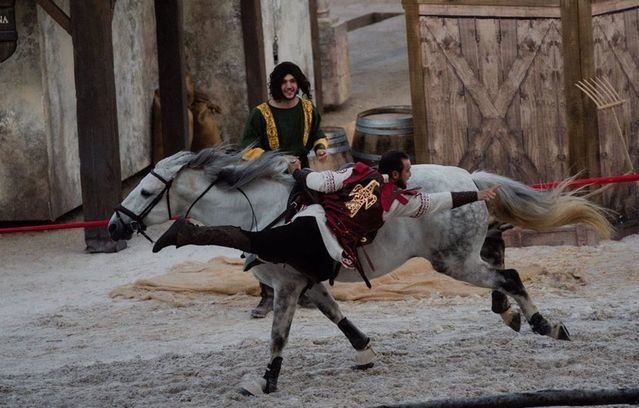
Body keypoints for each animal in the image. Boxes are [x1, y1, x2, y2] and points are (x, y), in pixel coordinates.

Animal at [107, 146, 612, 392]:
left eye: (144, 190)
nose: (114, 225)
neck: (263, 211)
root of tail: (470, 180)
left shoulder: (287, 284)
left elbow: (278, 335)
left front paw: (267, 380)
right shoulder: (307, 282)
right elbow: (335, 315)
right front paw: (365, 349)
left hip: (453, 261)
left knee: (507, 275)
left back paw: (545, 323)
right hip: (463, 254)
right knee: (500, 252)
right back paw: (508, 311)